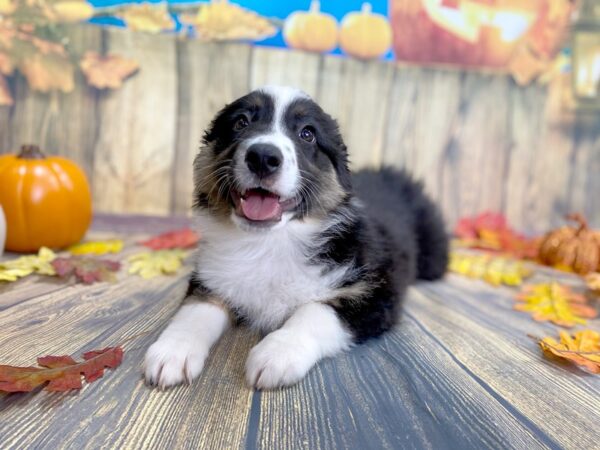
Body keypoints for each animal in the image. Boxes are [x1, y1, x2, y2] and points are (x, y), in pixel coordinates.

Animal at [144, 86, 446, 388]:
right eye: (241, 122)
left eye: (307, 134)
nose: (262, 157)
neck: (268, 243)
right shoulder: (211, 278)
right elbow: (195, 310)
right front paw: (173, 350)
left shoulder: (376, 292)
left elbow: (315, 312)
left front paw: (277, 353)